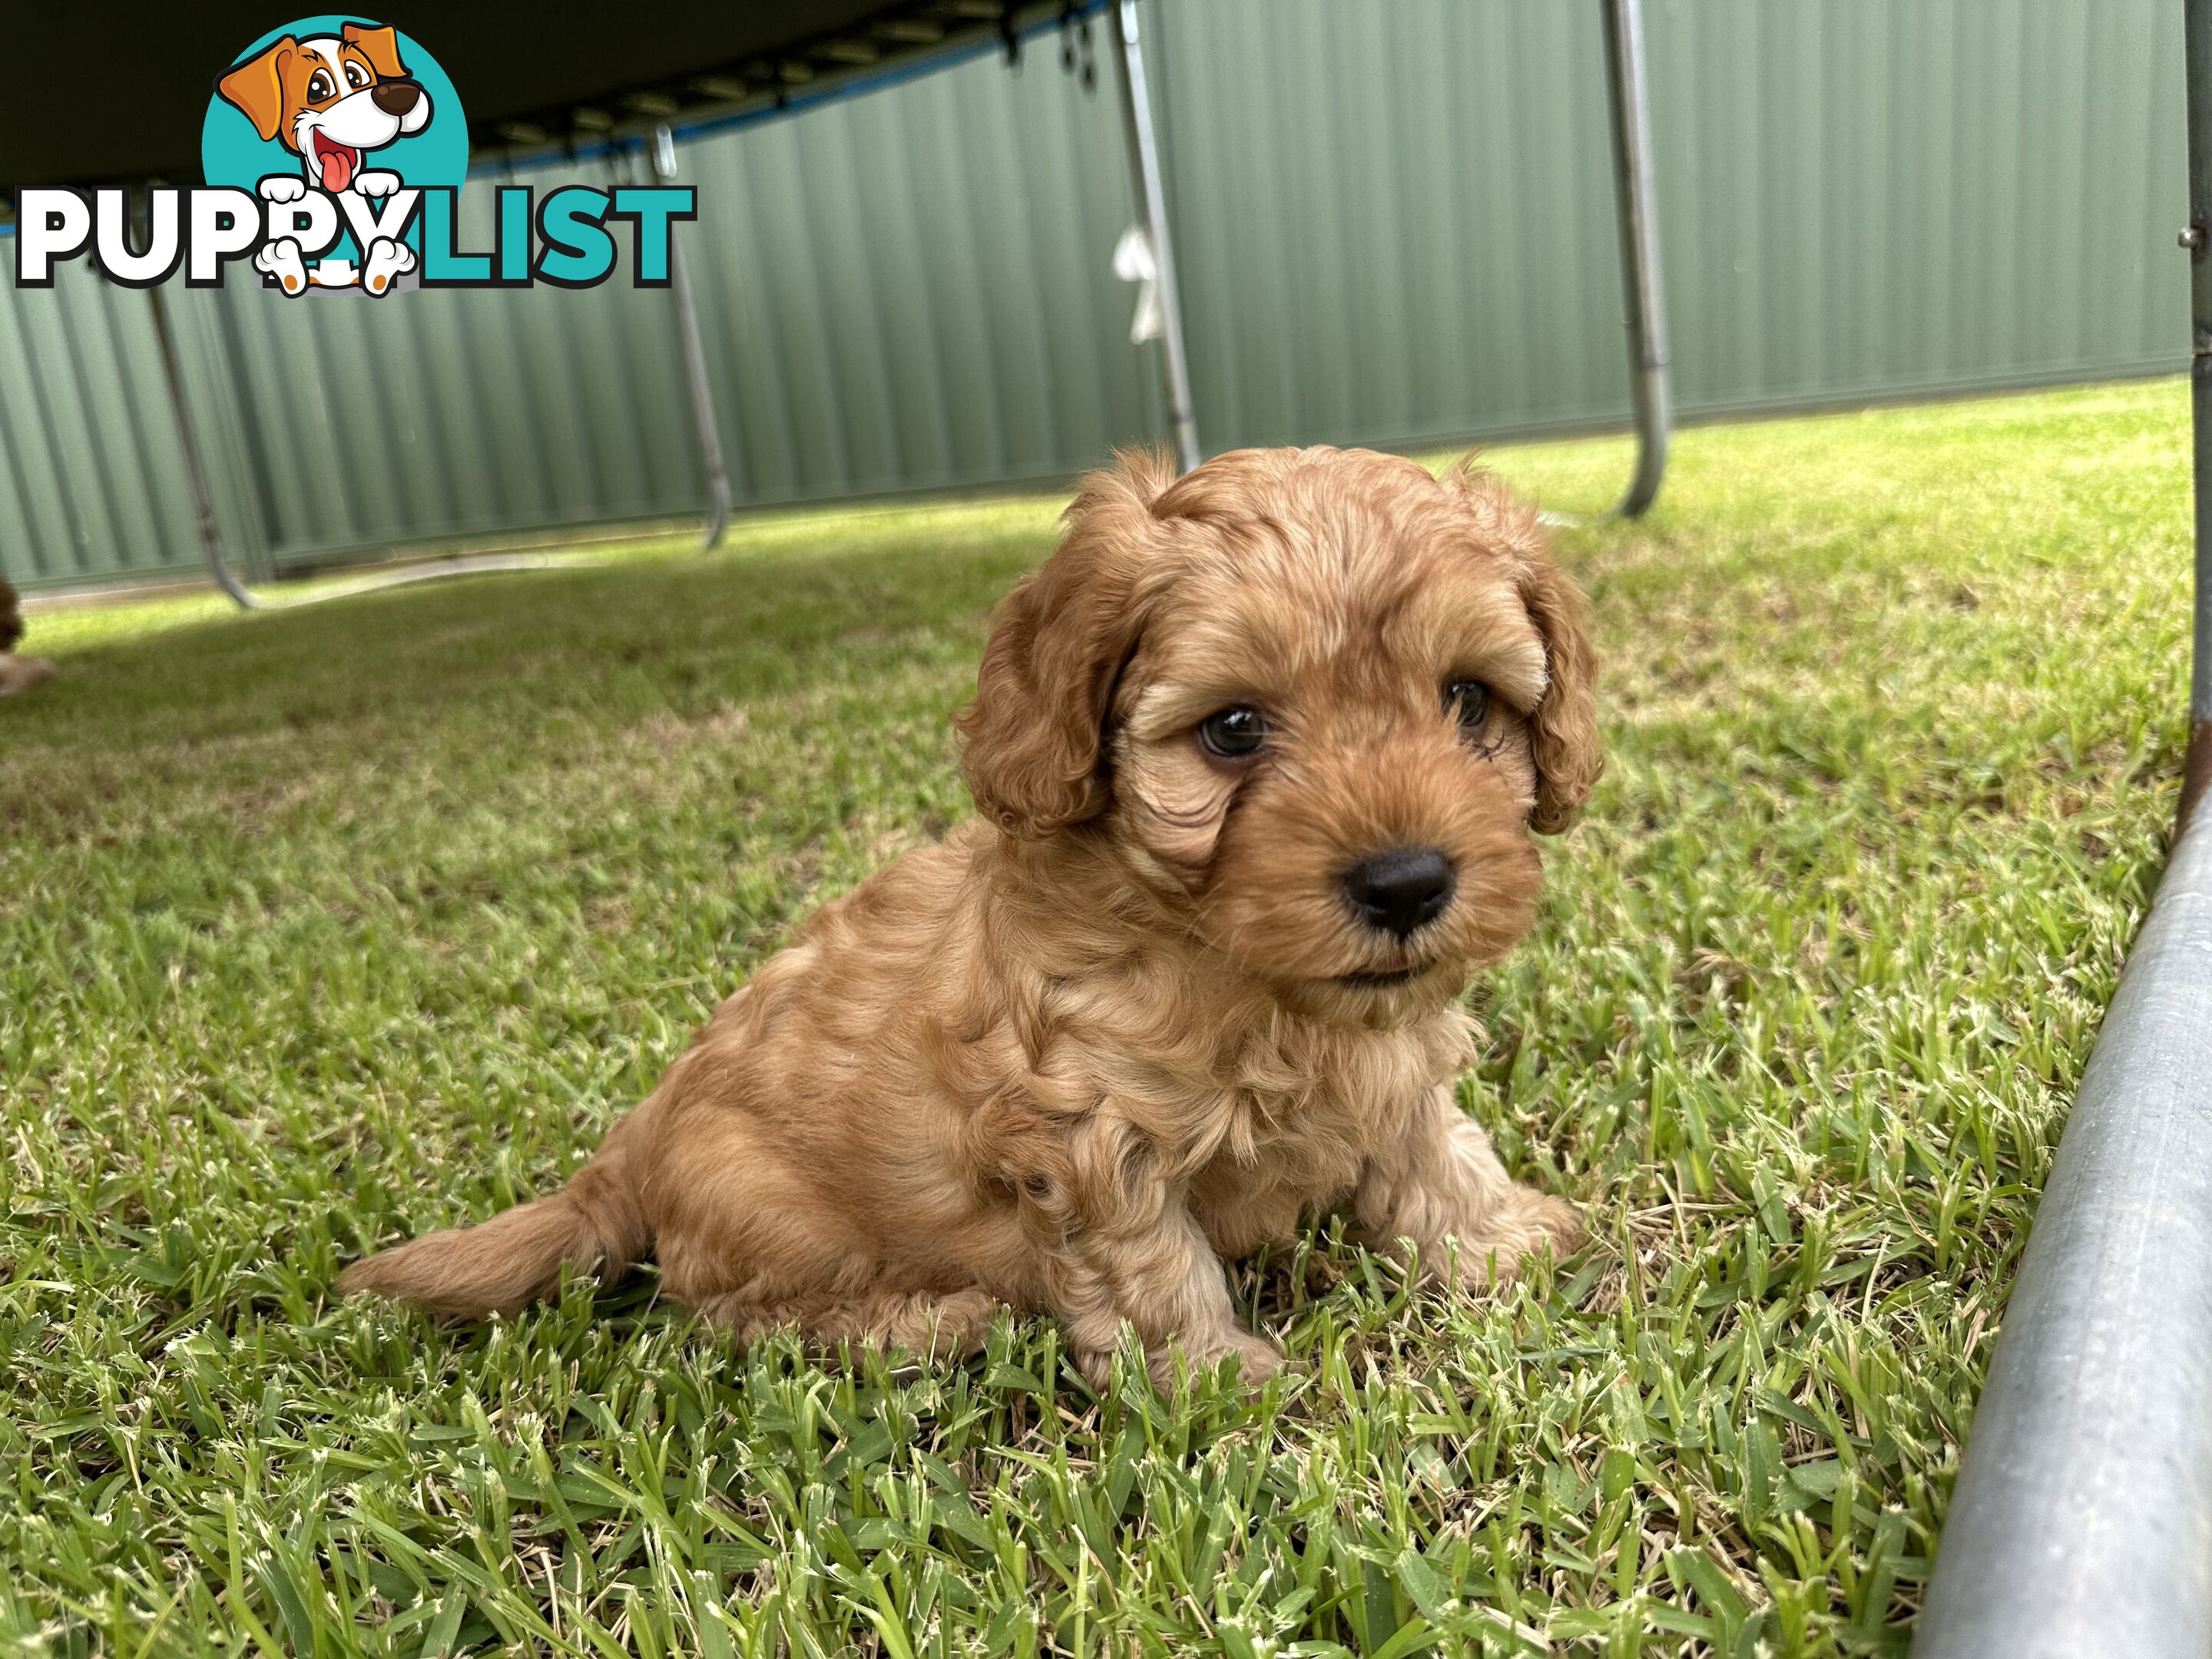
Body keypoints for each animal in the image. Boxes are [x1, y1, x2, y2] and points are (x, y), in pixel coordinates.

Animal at [336, 444, 1601, 1389]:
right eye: (1234, 730)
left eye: (1468, 701)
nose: (1407, 883)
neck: (1245, 971)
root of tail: (629, 1148)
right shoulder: (1088, 1125)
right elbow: (1148, 1266)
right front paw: (1211, 1380)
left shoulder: (1396, 1057)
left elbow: (1433, 1148)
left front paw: (1501, 1243)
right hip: (767, 1219)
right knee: (732, 1316)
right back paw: (928, 1321)